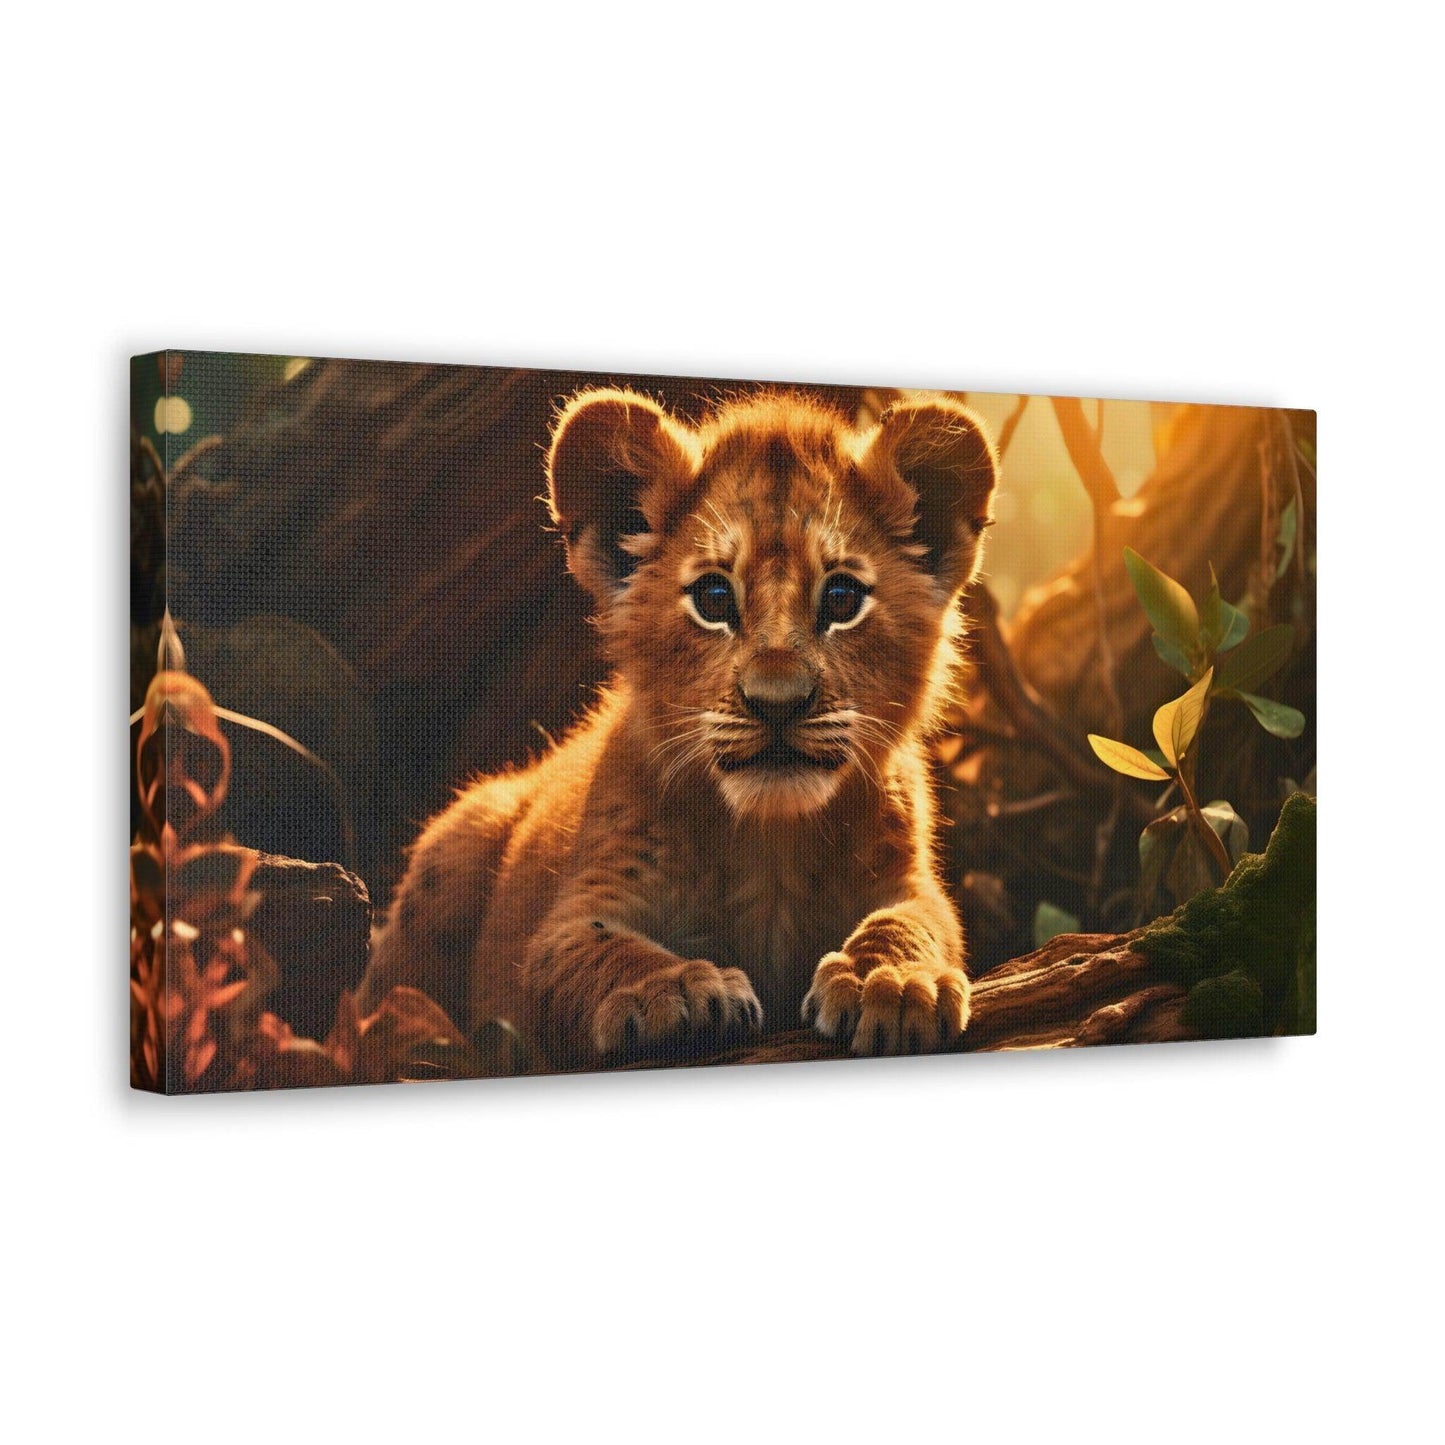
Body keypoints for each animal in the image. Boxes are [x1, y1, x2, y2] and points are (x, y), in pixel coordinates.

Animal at [357, 386, 998, 1067]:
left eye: (842, 598)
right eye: (714, 599)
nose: (778, 703)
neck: (770, 844)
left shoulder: (909, 881)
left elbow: (913, 923)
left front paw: (893, 981)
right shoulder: (574, 911)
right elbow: (600, 949)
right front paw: (678, 989)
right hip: (460, 837)